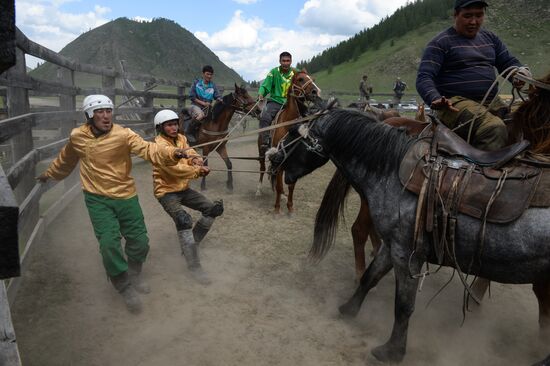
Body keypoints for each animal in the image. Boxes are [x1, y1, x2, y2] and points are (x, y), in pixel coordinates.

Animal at [268, 108, 550, 364]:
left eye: (292, 134)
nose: (273, 158)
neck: (391, 169)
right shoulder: (392, 245)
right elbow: (369, 277)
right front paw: (348, 309)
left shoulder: (408, 254)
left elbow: (403, 305)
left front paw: (392, 351)